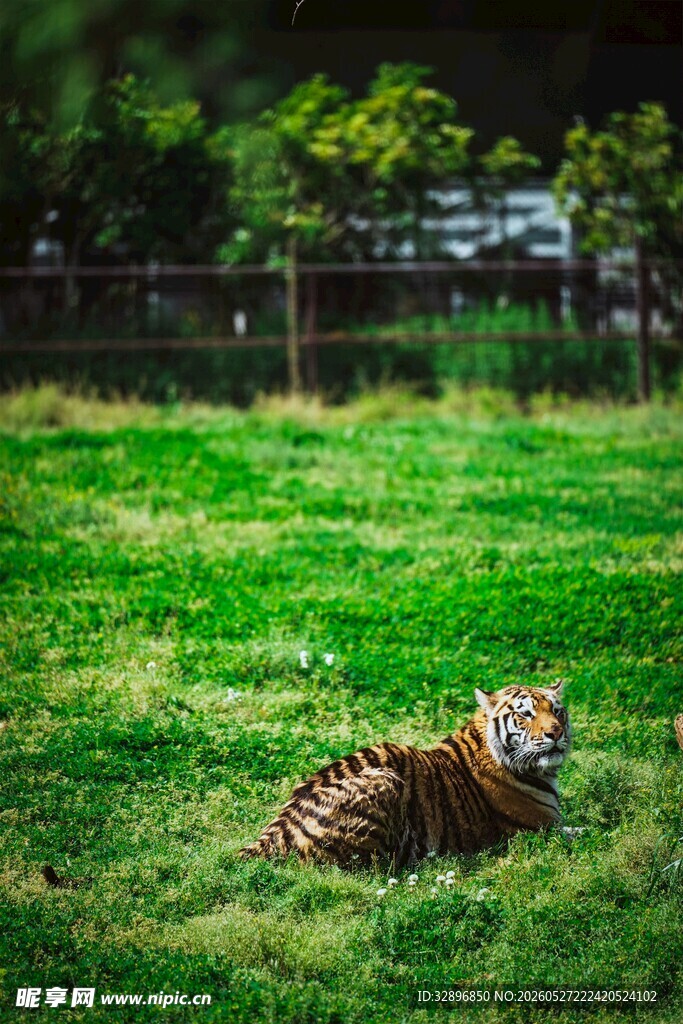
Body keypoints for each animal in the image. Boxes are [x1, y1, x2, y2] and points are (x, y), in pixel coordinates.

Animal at [239, 680, 571, 867]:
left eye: (557, 711)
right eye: (525, 714)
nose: (556, 733)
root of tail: (274, 832)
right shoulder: (542, 828)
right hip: (385, 782)